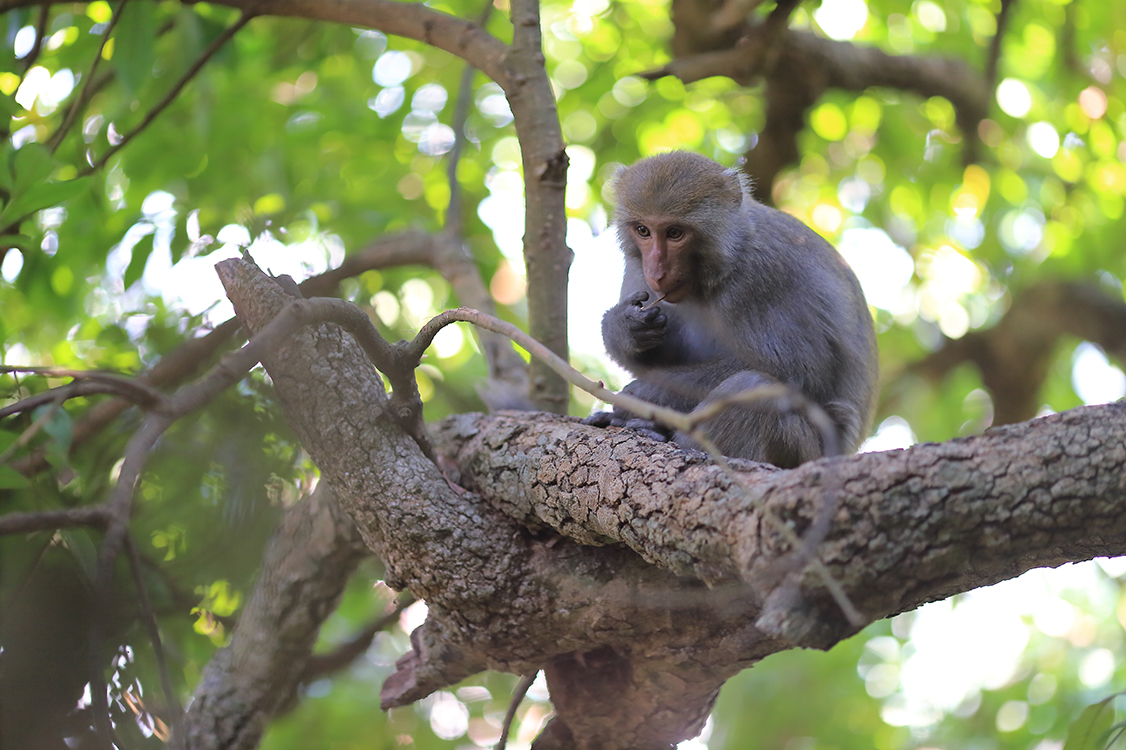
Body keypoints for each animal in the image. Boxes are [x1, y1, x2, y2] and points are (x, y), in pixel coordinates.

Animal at [590, 150, 878, 468]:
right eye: (643, 230)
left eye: (675, 233)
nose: (657, 271)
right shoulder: (639, 271)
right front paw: (622, 328)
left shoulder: (762, 276)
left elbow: (799, 371)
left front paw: (643, 396)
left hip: (805, 453)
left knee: (755, 387)